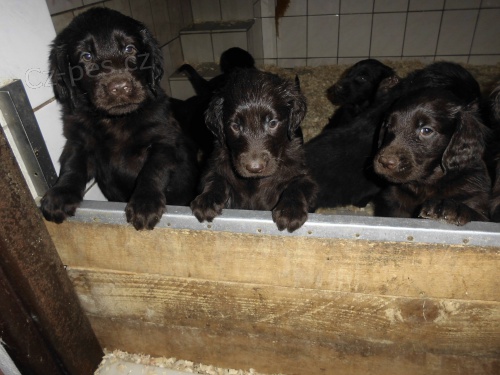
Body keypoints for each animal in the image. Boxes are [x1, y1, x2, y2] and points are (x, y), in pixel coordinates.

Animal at [40, 8, 198, 231]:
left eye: (129, 48)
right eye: (87, 56)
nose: (120, 87)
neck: (115, 120)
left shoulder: (164, 140)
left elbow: (153, 169)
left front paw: (145, 203)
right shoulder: (79, 141)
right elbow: (72, 165)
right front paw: (60, 195)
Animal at [191, 68, 316, 232]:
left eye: (273, 123)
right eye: (235, 126)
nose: (254, 168)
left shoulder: (305, 175)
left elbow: (297, 185)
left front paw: (290, 210)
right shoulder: (214, 165)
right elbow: (215, 178)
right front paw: (207, 200)